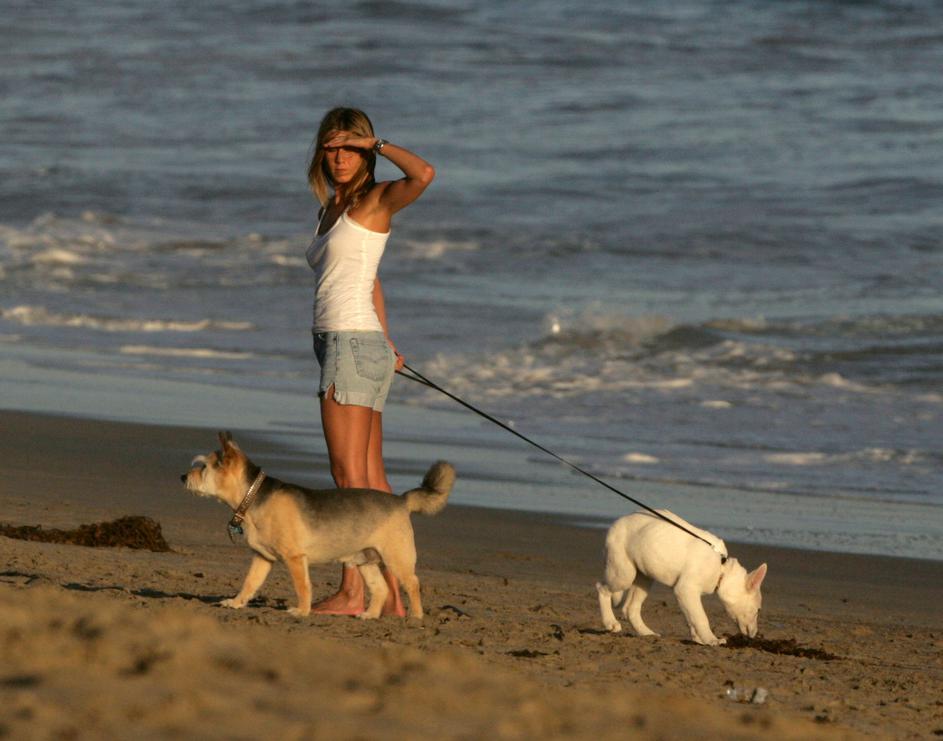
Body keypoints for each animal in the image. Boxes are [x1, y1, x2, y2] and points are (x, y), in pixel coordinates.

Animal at [181, 432, 455, 621]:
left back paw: (415, 616)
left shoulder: (294, 558)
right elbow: (250, 582)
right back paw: (369, 614)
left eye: (203, 467)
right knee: (381, 589)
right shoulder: (262, 558)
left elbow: (302, 586)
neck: (253, 495)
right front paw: (237, 603)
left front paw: (302, 611)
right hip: (364, 560)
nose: (183, 477)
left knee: (412, 584)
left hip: (396, 558)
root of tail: (401, 500)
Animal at [596, 510, 767, 645]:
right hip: (623, 574)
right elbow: (700, 617)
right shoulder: (685, 590)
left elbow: (691, 617)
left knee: (630, 608)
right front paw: (711, 639)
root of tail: (618, 521)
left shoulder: (687, 596)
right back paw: (610, 622)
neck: (721, 569)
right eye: (758, 610)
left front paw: (699, 639)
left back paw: (646, 632)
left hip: (644, 578)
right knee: (602, 588)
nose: (754, 635)